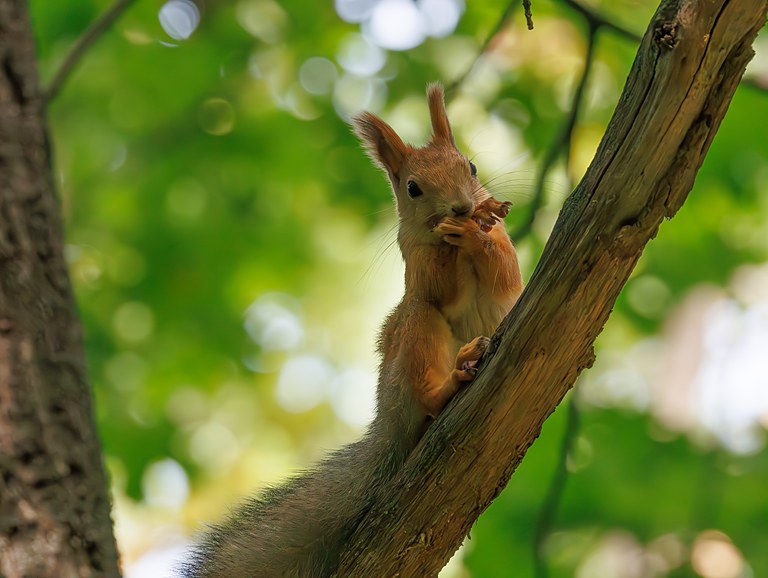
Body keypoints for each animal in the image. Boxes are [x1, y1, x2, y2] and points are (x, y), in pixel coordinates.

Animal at [181, 83, 523, 578]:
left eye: (471, 167)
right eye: (412, 188)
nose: (460, 206)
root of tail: (388, 424)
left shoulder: (506, 265)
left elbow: (503, 270)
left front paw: (480, 224)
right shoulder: (416, 265)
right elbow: (436, 285)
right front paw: (458, 233)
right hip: (414, 333)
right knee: (424, 370)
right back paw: (452, 378)